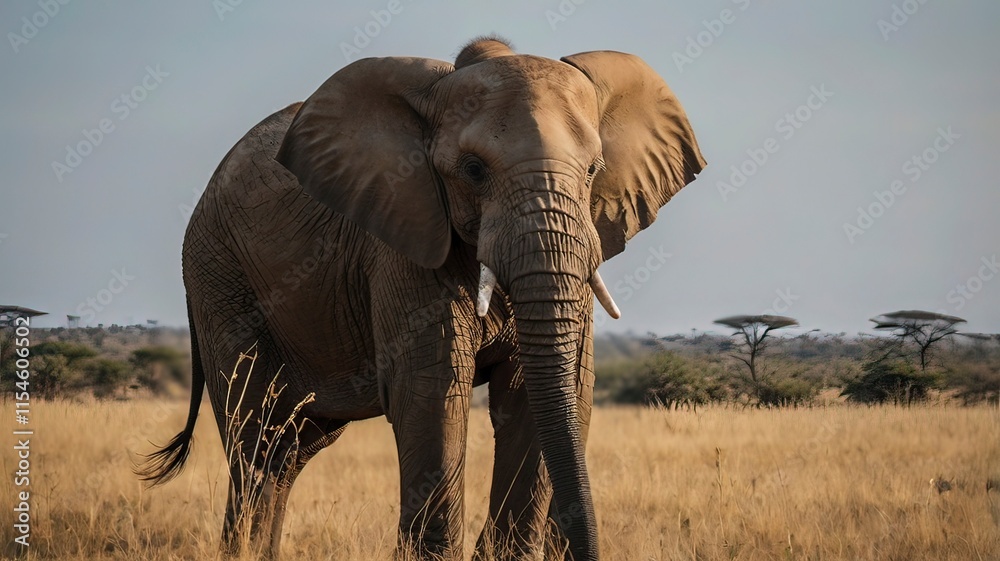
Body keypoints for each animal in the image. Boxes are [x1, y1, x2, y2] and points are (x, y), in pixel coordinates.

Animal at [138, 37, 705, 561]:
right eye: (473, 169)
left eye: (593, 170)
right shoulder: (402, 237)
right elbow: (432, 392)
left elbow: (538, 392)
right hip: (219, 277)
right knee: (258, 439)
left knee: (291, 447)